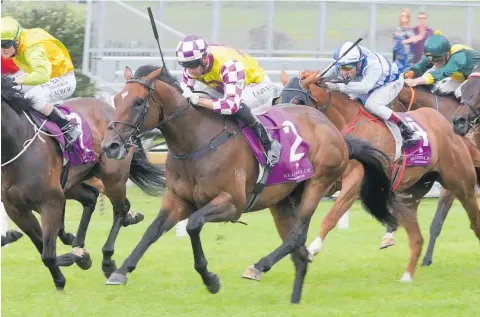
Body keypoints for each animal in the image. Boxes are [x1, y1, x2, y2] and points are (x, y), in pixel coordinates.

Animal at [0, 77, 167, 288]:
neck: (15, 146)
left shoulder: (51, 202)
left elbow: (48, 254)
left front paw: (75, 259)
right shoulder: (16, 209)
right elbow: (42, 246)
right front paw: (65, 270)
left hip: (113, 177)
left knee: (120, 208)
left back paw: (107, 258)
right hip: (74, 182)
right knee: (92, 197)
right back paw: (81, 242)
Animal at [98, 65, 402, 304]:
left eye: (139, 102)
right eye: (116, 99)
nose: (110, 146)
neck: (197, 140)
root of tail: (335, 131)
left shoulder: (231, 204)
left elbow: (194, 225)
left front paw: (210, 279)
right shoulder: (177, 200)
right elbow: (152, 231)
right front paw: (120, 270)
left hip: (317, 184)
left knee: (297, 237)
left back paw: (258, 266)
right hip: (282, 200)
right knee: (299, 252)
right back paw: (293, 299)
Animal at [276, 71, 480, 282]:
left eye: (297, 100)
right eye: (278, 99)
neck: (350, 123)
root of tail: (448, 126)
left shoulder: (355, 182)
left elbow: (332, 215)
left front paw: (313, 247)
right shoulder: (330, 180)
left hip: (461, 183)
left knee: (473, 219)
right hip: (413, 191)